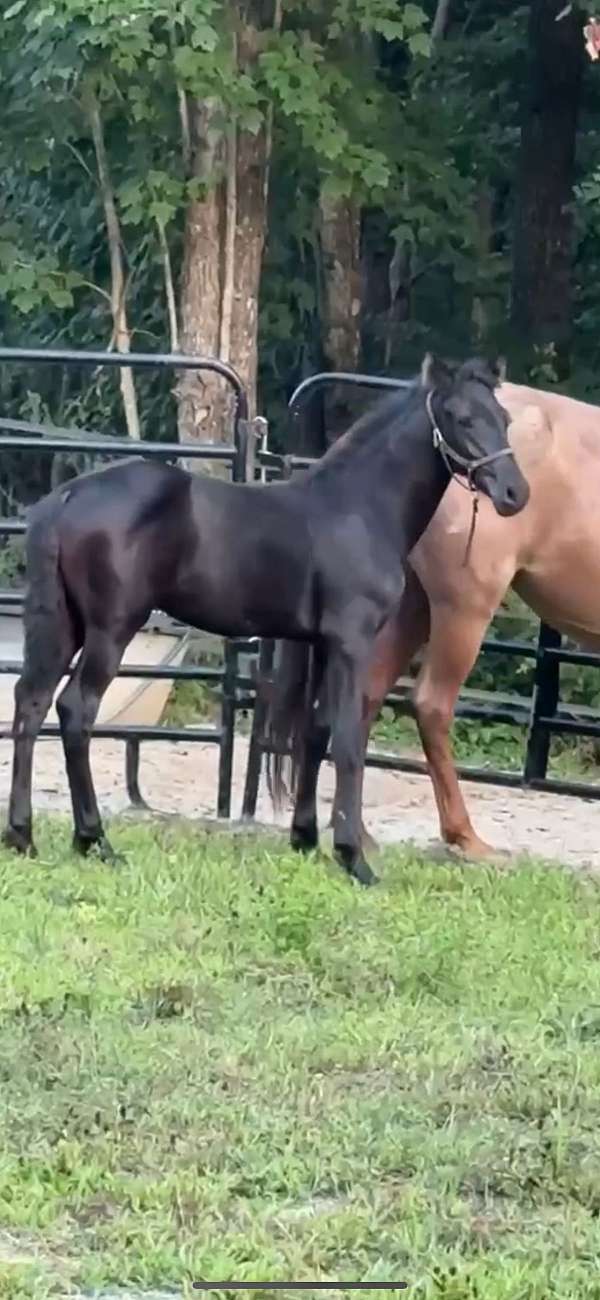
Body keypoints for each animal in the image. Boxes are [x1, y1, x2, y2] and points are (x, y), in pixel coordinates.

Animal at [2, 353, 528, 884]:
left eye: (504, 419)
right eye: (461, 418)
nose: (515, 493)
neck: (359, 509)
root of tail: (68, 496)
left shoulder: (322, 644)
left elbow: (316, 731)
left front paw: (307, 839)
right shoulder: (352, 642)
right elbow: (348, 738)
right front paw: (353, 858)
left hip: (63, 627)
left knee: (31, 705)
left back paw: (24, 837)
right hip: (111, 631)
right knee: (76, 710)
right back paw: (95, 840)